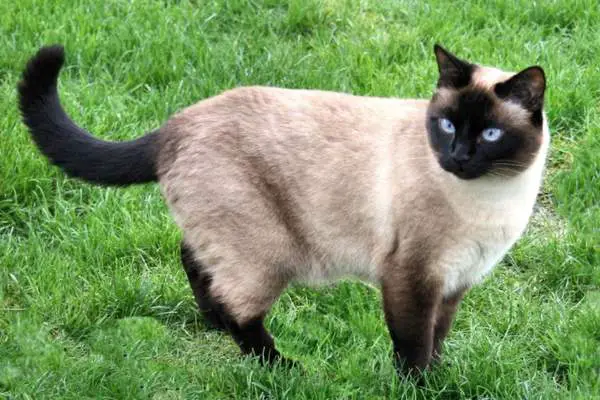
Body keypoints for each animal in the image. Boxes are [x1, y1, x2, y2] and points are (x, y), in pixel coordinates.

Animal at [16, 44, 548, 378]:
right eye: (447, 125)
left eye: (490, 134)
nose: (457, 156)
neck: (495, 197)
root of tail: (174, 126)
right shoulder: (412, 278)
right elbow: (414, 346)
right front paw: (421, 388)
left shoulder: (455, 282)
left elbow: (437, 339)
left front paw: (440, 378)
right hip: (267, 254)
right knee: (241, 312)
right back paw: (285, 369)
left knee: (194, 260)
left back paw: (212, 321)